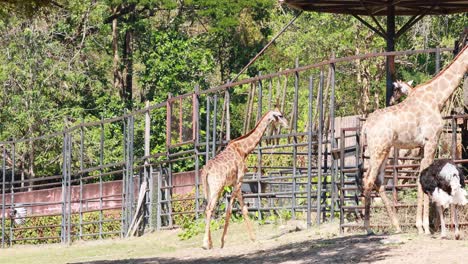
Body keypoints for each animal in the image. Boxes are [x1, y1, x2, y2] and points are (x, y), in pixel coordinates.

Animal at [201, 108, 288, 249]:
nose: (287, 124)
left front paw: (224, 241)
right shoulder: (239, 180)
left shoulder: (233, 183)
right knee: (209, 208)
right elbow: (235, 210)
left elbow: (241, 208)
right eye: (280, 115)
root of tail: (205, 171)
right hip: (217, 187)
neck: (243, 150)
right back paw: (205, 244)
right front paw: (226, 241)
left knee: (208, 208)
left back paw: (210, 242)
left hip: (211, 189)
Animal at [362, 45, 468, 235]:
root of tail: (365, 126)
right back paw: (368, 228)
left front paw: (423, 225)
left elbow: (420, 178)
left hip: (384, 151)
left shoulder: (422, 145)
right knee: (369, 180)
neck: (437, 97)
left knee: (378, 181)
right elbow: (425, 178)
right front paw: (425, 227)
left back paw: (397, 226)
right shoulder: (431, 140)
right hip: (378, 149)